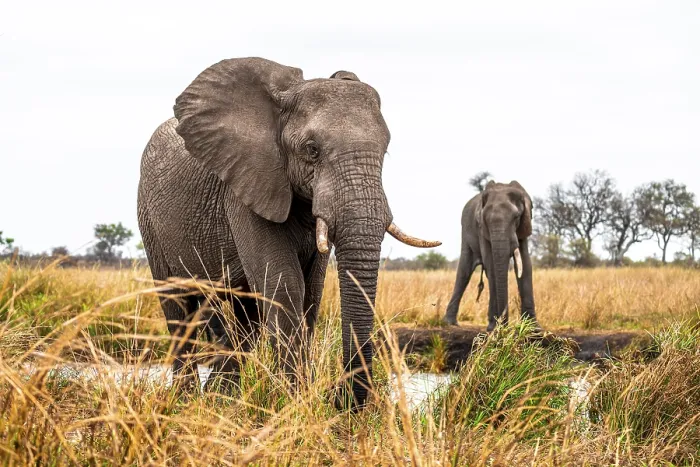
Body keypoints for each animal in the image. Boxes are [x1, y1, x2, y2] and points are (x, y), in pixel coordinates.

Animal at [137, 57, 440, 409]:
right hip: (149, 220)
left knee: (244, 314)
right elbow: (284, 284)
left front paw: (302, 399)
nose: (341, 397)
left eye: (385, 151)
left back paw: (221, 398)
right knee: (178, 307)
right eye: (312, 149)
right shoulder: (247, 186)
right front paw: (296, 402)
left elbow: (311, 290)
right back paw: (185, 402)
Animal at [443, 181, 538, 331]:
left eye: (516, 217)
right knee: (464, 272)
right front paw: (495, 328)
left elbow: (525, 265)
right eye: (486, 220)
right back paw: (450, 323)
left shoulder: (524, 227)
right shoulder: (481, 229)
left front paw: (533, 330)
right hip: (465, 231)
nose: (504, 326)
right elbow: (491, 265)